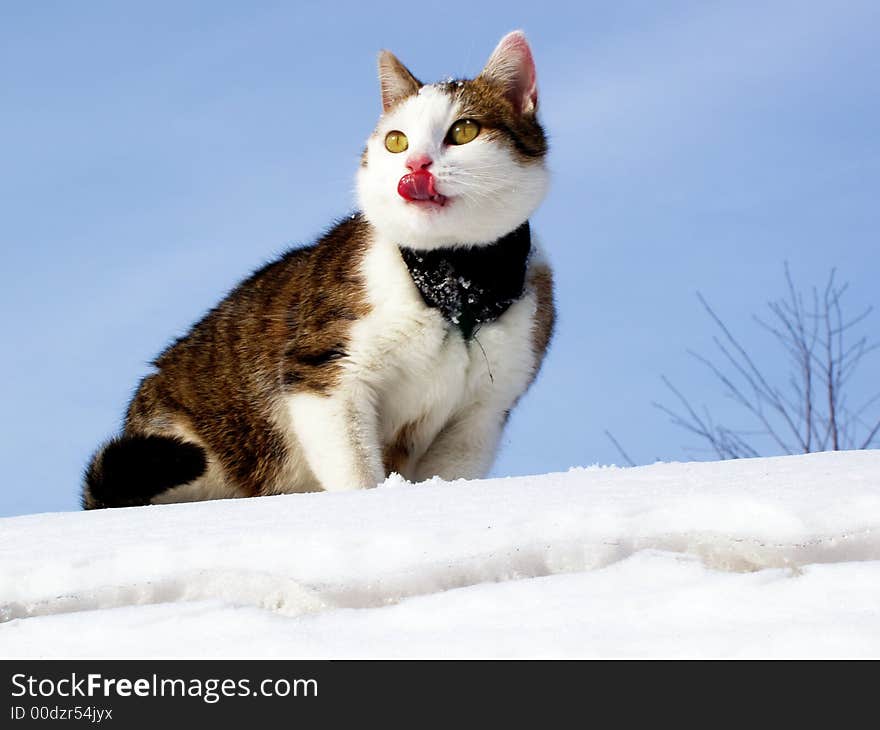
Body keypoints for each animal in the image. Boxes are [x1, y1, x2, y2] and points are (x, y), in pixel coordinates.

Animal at [82, 28, 552, 506]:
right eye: (396, 140)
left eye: (464, 130)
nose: (415, 164)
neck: (456, 283)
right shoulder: (323, 375)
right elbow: (356, 472)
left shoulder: (481, 414)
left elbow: (452, 474)